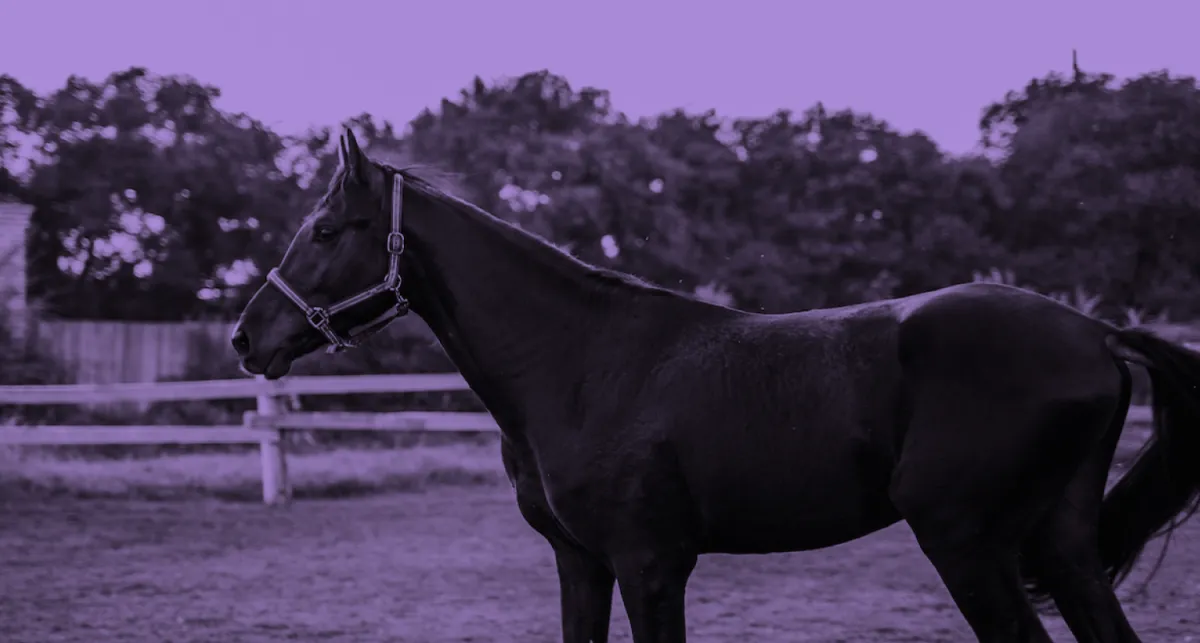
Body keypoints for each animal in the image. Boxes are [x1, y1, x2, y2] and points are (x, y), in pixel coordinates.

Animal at [231, 128, 1200, 643]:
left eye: (327, 230)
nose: (247, 337)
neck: (582, 363)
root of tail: (1097, 334)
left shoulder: (651, 564)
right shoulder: (582, 561)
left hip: (967, 544)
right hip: (1061, 547)